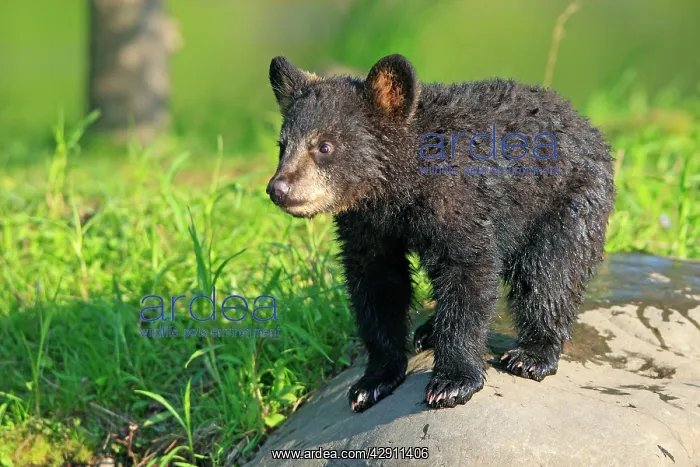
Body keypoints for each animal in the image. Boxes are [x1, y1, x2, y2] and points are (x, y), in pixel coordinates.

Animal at [265, 54, 616, 412]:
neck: (401, 190)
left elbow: (467, 273)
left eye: (324, 146)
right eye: (282, 146)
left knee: (550, 273)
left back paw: (532, 354)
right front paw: (373, 381)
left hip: (567, 201)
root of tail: (588, 125)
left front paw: (452, 382)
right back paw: (429, 330)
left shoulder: (460, 202)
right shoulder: (368, 225)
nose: (278, 189)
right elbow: (377, 287)